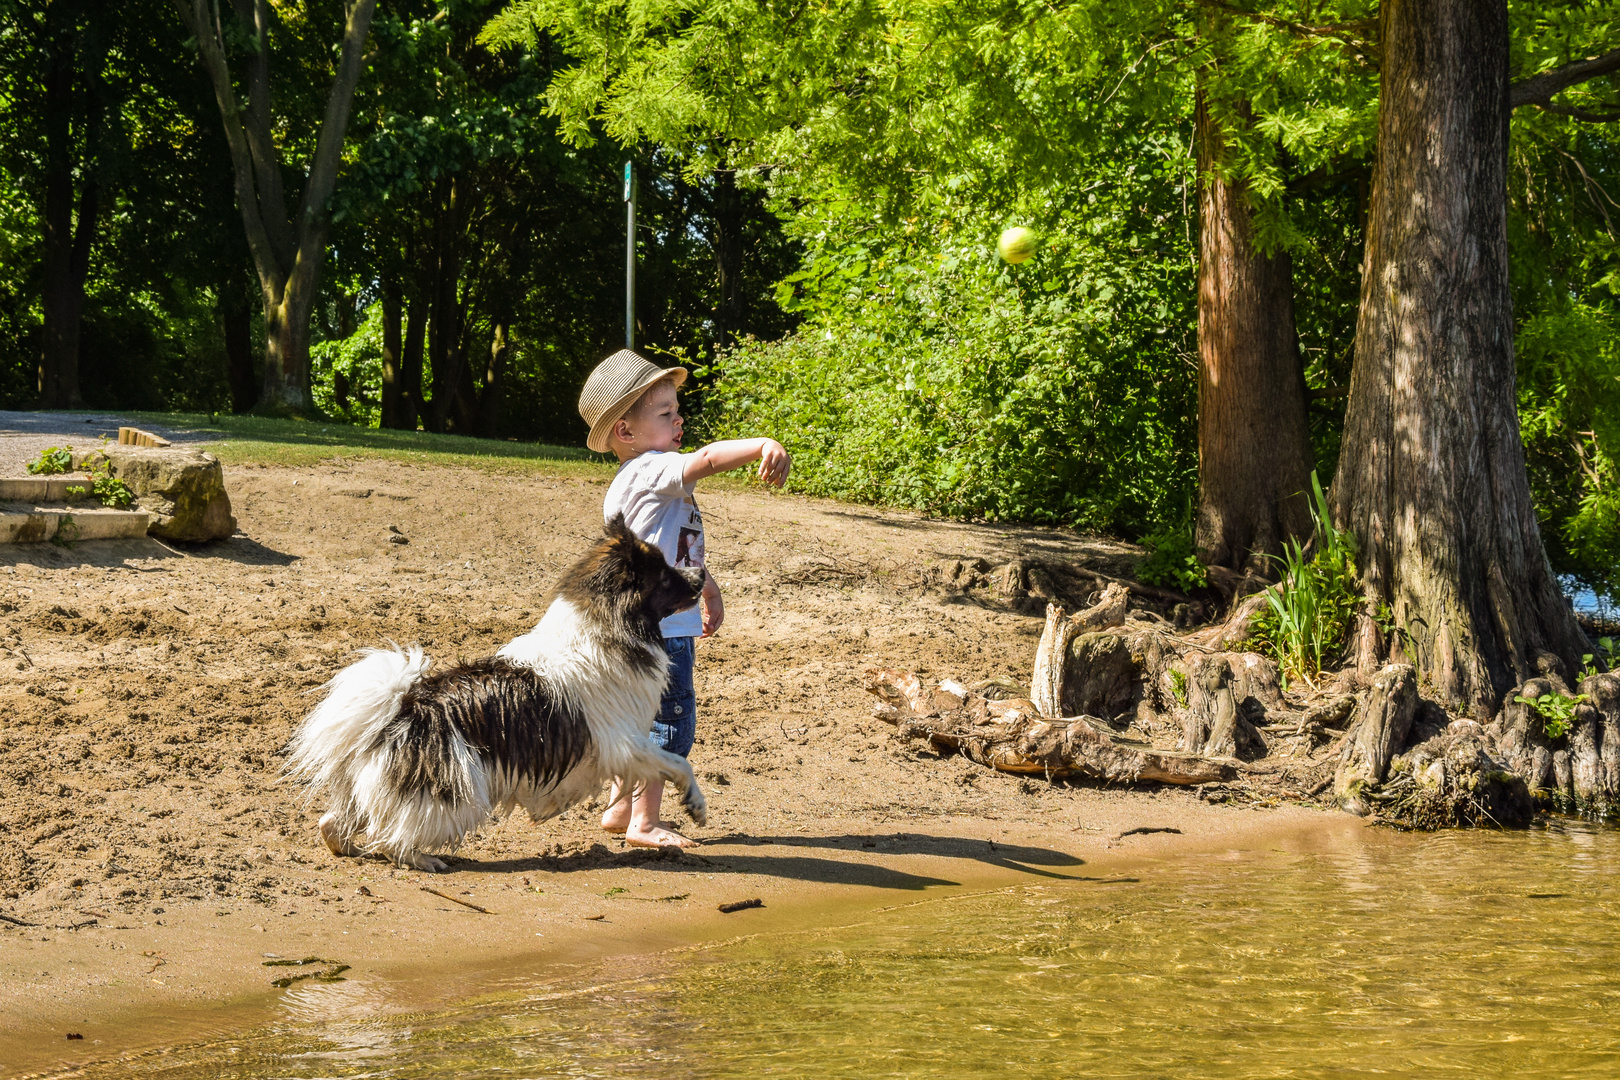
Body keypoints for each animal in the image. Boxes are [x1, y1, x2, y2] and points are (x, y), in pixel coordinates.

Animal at [283, 518, 709, 874]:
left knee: (333, 824)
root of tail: (400, 710)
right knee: (390, 840)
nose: (702, 572)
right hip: (456, 796)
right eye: (665, 576)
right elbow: (678, 763)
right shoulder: (625, 745)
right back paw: (424, 859)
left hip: (373, 792)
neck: (604, 626)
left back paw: (348, 846)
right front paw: (696, 804)